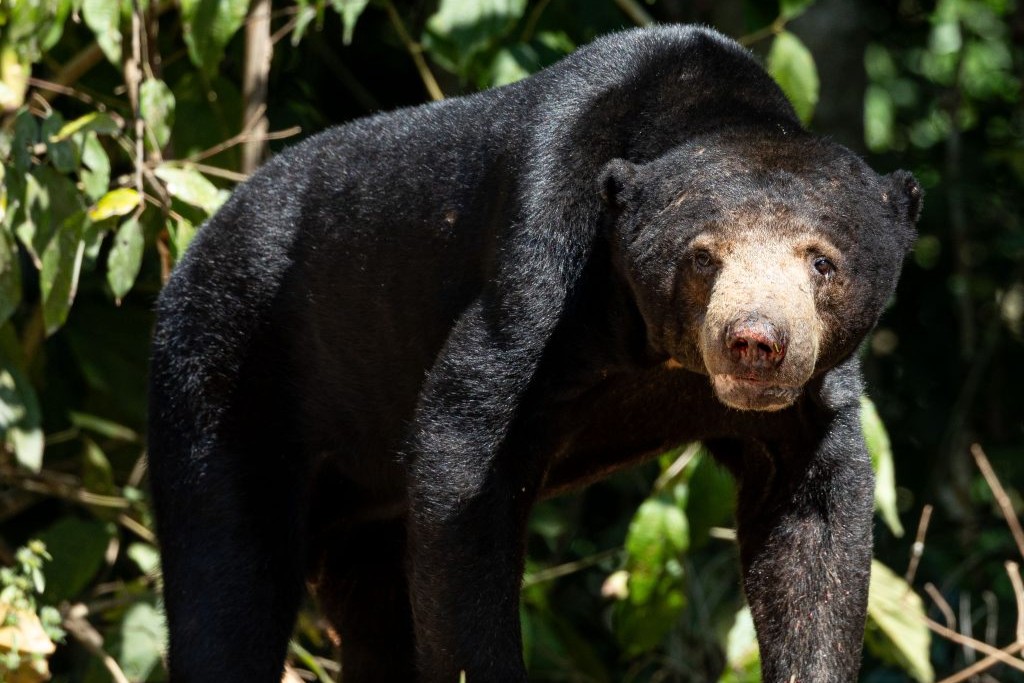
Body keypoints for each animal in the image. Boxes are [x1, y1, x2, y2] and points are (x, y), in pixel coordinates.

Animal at [146, 24, 921, 683]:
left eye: (821, 261)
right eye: (704, 257)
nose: (756, 341)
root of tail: (195, 245)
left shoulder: (810, 401)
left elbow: (814, 516)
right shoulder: (538, 259)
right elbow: (463, 460)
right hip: (225, 376)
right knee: (227, 580)